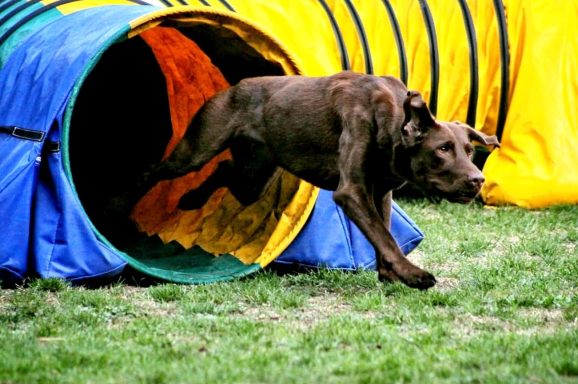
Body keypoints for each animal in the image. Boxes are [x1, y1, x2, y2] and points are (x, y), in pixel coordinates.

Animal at [111, 70, 496, 290]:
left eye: (468, 149)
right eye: (443, 149)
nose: (478, 180)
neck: (388, 118)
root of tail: (235, 87)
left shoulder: (380, 192)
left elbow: (383, 232)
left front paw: (392, 274)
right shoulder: (351, 192)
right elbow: (383, 234)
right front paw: (414, 275)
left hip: (253, 178)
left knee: (224, 172)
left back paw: (191, 199)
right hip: (198, 148)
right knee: (155, 170)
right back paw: (123, 202)